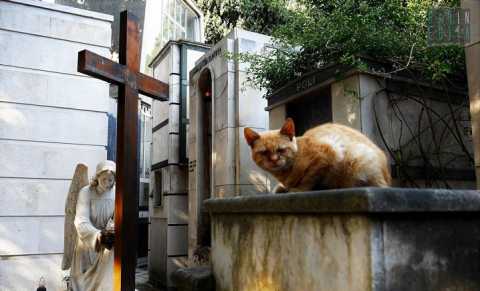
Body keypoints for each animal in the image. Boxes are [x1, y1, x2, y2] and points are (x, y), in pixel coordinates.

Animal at [244, 117, 390, 193]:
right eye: (264, 152)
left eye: (281, 150)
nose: (274, 160)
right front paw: (283, 188)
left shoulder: (327, 152)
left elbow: (309, 177)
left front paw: (298, 189)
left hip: (358, 160)